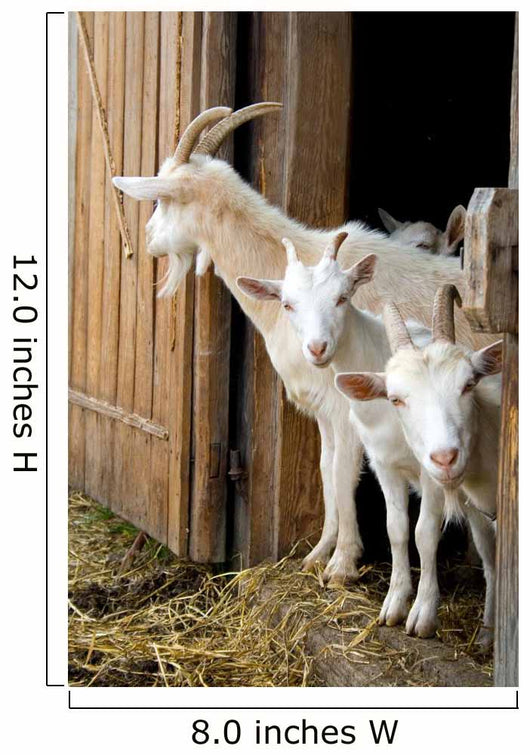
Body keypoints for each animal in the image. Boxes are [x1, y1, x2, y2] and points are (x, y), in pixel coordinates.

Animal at [114, 103, 491, 587]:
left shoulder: (349, 408)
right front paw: (317, 554)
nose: (147, 239)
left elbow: (345, 475)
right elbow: (327, 473)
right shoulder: (324, 410)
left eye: (162, 199)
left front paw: (342, 565)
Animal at [336, 285, 502, 645]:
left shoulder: (432, 478)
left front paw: (422, 615)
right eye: (396, 398)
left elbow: (424, 532)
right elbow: (396, 528)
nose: (446, 456)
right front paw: (394, 604)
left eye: (468, 384)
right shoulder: (386, 468)